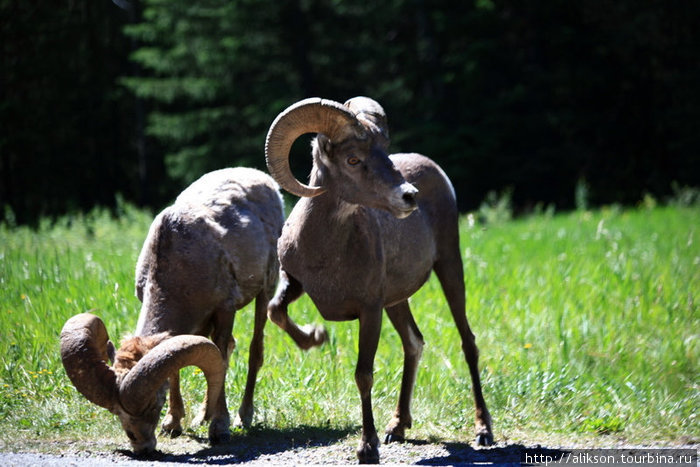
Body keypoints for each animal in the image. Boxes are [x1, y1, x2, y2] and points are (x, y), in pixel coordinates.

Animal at [61, 167, 286, 454]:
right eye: (115, 412)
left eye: (152, 404)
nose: (141, 446)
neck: (180, 264)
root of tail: (263, 179)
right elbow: (178, 369)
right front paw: (173, 424)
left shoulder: (225, 309)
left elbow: (221, 359)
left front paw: (220, 428)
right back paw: (202, 416)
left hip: (265, 291)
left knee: (254, 351)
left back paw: (242, 418)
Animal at [266, 98, 494, 464]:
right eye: (353, 159)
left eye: (384, 151)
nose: (409, 196)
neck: (326, 252)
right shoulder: (295, 283)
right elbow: (275, 311)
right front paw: (315, 338)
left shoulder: (370, 310)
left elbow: (363, 374)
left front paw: (367, 448)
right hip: (398, 301)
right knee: (414, 343)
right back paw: (397, 427)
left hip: (449, 267)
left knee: (468, 343)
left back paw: (483, 431)